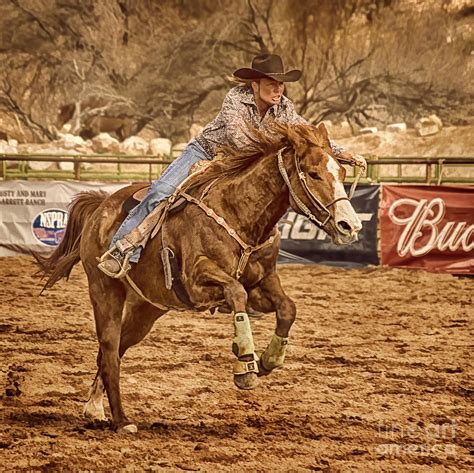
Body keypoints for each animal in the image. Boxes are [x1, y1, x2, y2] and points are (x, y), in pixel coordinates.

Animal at [36, 122, 362, 432]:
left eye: (342, 171)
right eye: (313, 174)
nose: (350, 226)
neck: (238, 212)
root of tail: (100, 207)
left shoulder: (264, 282)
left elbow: (287, 308)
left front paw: (268, 359)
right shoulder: (196, 281)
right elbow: (236, 293)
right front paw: (246, 363)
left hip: (146, 309)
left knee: (111, 354)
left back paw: (94, 409)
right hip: (105, 292)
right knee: (109, 350)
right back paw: (121, 420)